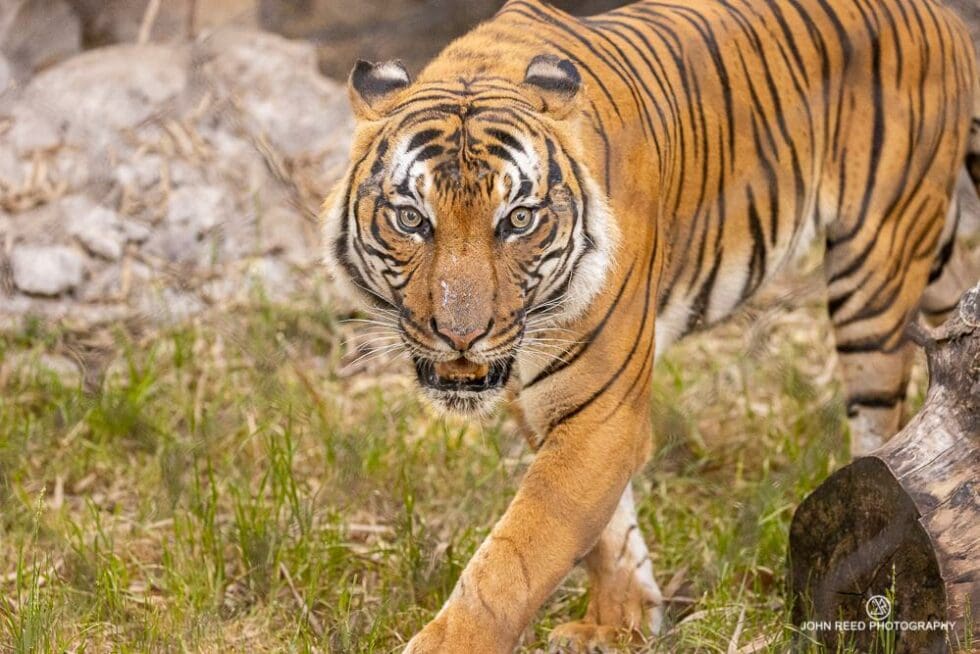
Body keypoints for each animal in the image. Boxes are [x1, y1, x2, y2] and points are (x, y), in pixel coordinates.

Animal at [320, 1, 972, 652]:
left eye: (519, 220)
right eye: (411, 219)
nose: (461, 334)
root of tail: (943, 17)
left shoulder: (601, 409)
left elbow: (516, 555)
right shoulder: (549, 404)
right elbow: (605, 533)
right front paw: (622, 624)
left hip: (874, 269)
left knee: (881, 421)